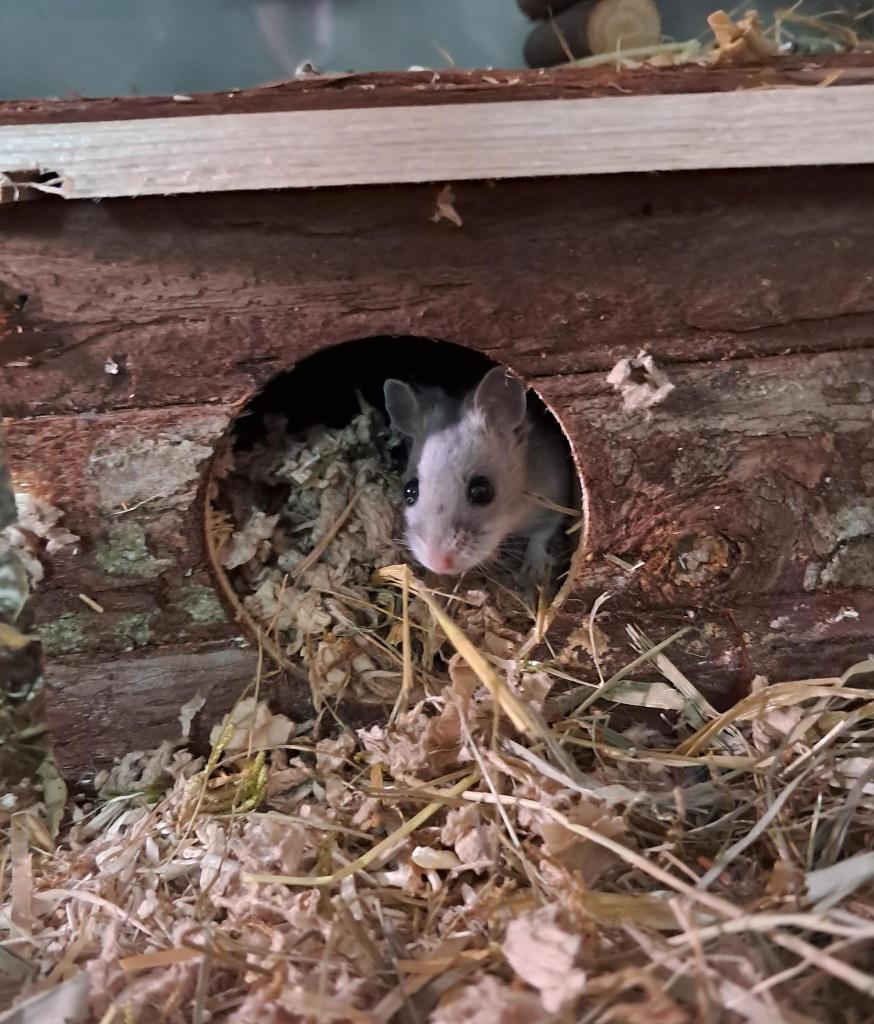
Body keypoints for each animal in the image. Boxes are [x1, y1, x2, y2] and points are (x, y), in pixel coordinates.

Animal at [383, 366, 571, 579]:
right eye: (409, 491)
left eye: (481, 491)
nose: (437, 565)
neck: (514, 514)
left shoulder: (554, 496)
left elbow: (541, 535)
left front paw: (533, 570)